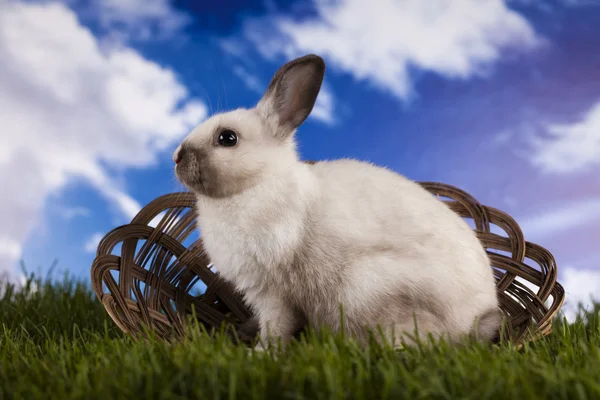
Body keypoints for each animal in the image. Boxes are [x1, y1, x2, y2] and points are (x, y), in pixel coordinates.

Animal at [173, 54, 502, 348]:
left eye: (227, 138)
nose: (176, 157)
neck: (258, 182)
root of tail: (476, 322)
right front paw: (245, 332)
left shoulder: (273, 293)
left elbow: (276, 328)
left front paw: (260, 354)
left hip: (365, 289)